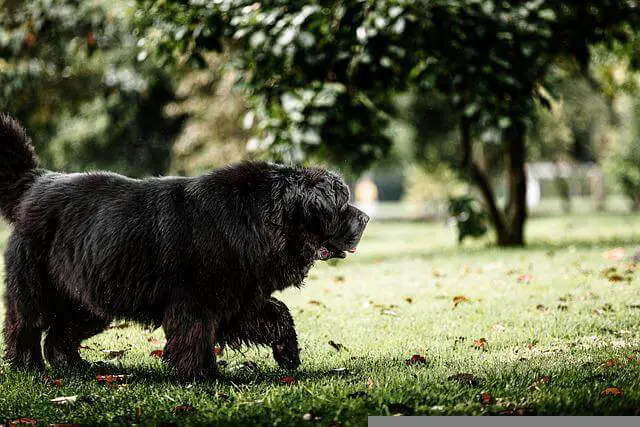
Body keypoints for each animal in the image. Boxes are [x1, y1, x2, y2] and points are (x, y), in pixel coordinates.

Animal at [0, 113, 368, 378]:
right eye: (341, 205)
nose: (365, 218)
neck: (257, 219)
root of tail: (36, 182)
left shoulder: (237, 294)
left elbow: (277, 313)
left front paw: (288, 354)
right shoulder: (194, 299)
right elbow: (195, 335)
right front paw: (201, 375)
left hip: (89, 297)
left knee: (61, 333)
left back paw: (75, 366)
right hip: (37, 286)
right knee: (26, 324)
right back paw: (28, 366)